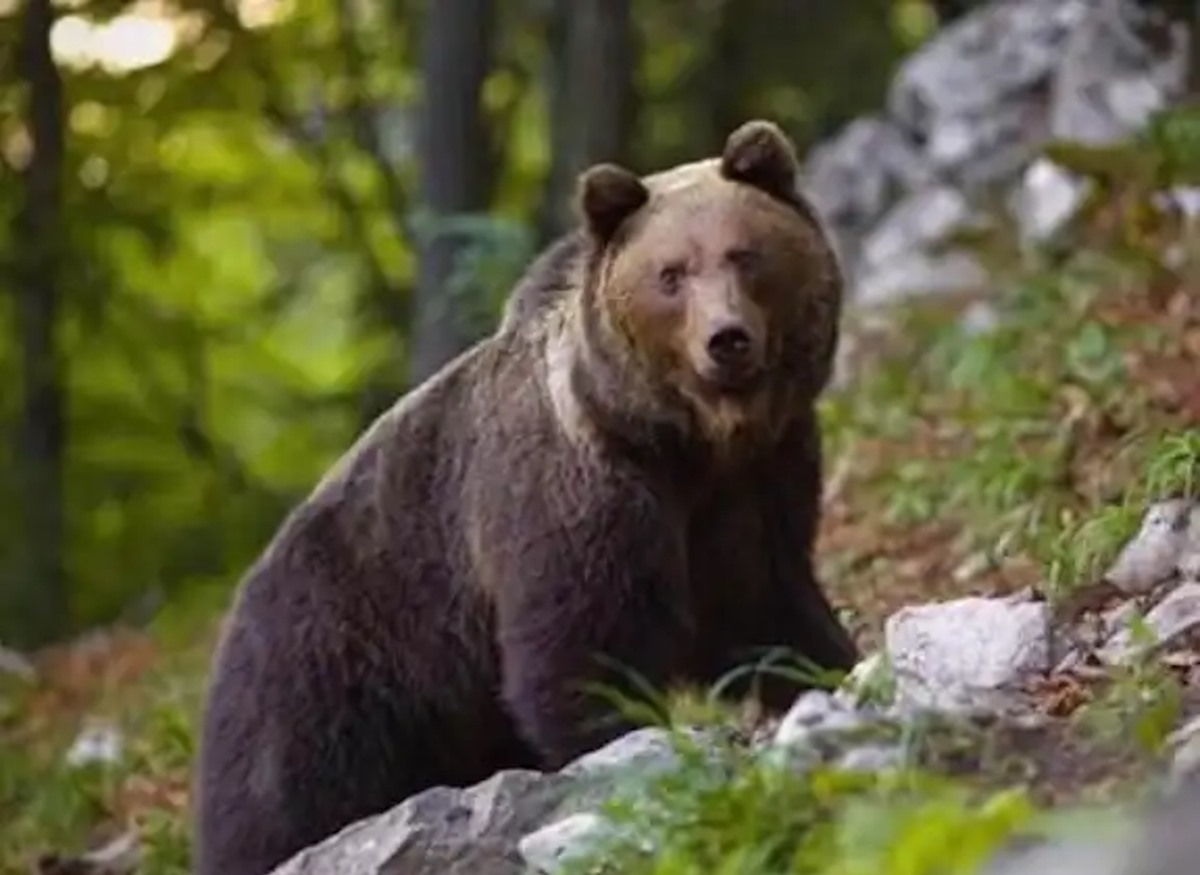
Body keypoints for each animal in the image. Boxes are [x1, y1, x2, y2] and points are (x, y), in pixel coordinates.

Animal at [192, 119, 859, 873]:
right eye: (671, 274)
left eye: (744, 255)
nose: (727, 339)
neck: (684, 443)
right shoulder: (575, 492)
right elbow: (581, 644)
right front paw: (621, 745)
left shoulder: (753, 486)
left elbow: (765, 607)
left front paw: (831, 669)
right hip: (327, 670)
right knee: (280, 803)